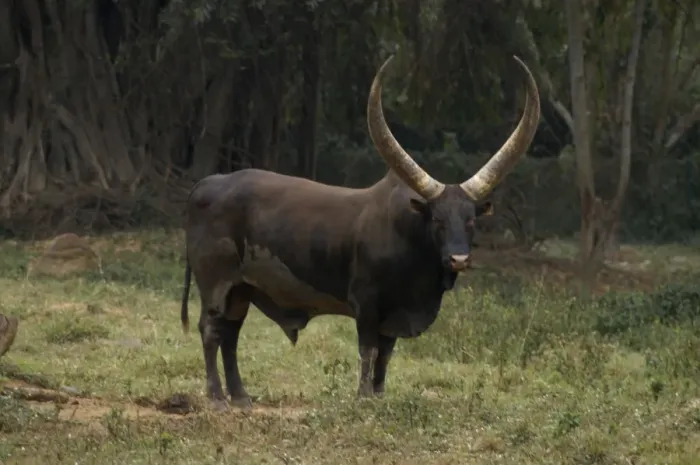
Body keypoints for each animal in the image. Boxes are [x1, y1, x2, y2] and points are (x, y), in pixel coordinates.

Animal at [180, 54, 540, 410]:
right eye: (437, 219)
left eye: (470, 220)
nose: (459, 259)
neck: (409, 241)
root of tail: (207, 185)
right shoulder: (366, 302)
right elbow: (368, 349)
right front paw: (363, 397)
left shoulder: (395, 313)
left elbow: (386, 354)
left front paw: (379, 395)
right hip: (215, 284)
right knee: (210, 331)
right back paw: (217, 398)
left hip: (241, 291)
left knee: (230, 335)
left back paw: (241, 397)